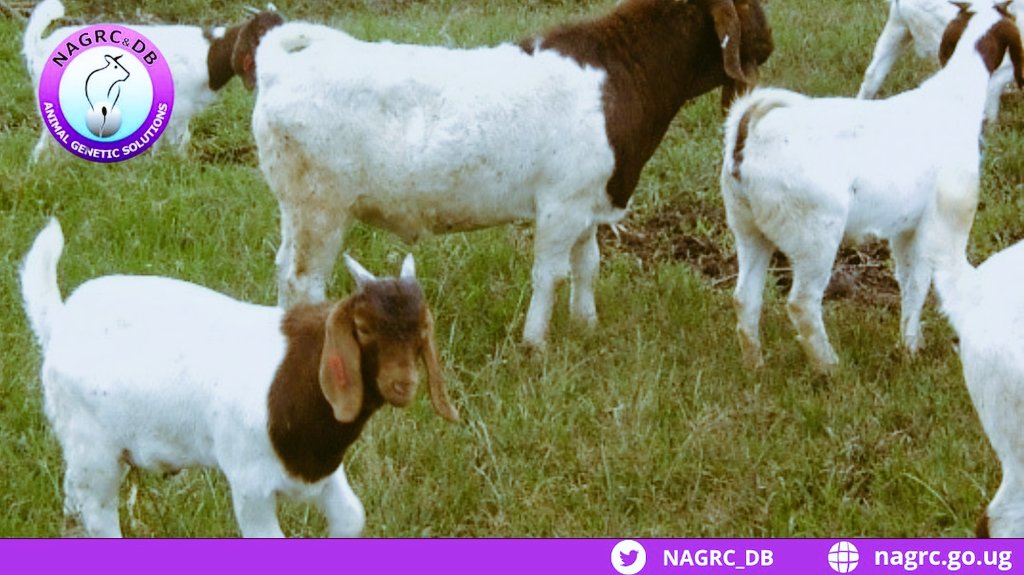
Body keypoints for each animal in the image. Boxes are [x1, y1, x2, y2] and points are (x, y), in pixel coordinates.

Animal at [19, 218, 458, 537]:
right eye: (363, 328)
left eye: (422, 329)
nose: (404, 385)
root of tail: (60, 322)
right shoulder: (251, 483)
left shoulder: (323, 474)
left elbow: (352, 519)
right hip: (94, 446)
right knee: (98, 513)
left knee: (75, 502)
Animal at [22, 0, 283, 161]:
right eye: (263, 35)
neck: (211, 54)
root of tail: (39, 46)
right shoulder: (179, 110)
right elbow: (180, 142)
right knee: (45, 144)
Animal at [249, 0, 773, 350]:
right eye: (749, 4)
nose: (769, 41)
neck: (618, 73)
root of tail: (280, 65)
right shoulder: (561, 205)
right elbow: (549, 274)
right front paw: (535, 343)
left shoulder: (588, 200)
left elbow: (587, 265)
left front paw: (586, 325)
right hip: (321, 207)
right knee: (302, 278)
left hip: (296, 207)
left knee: (283, 267)